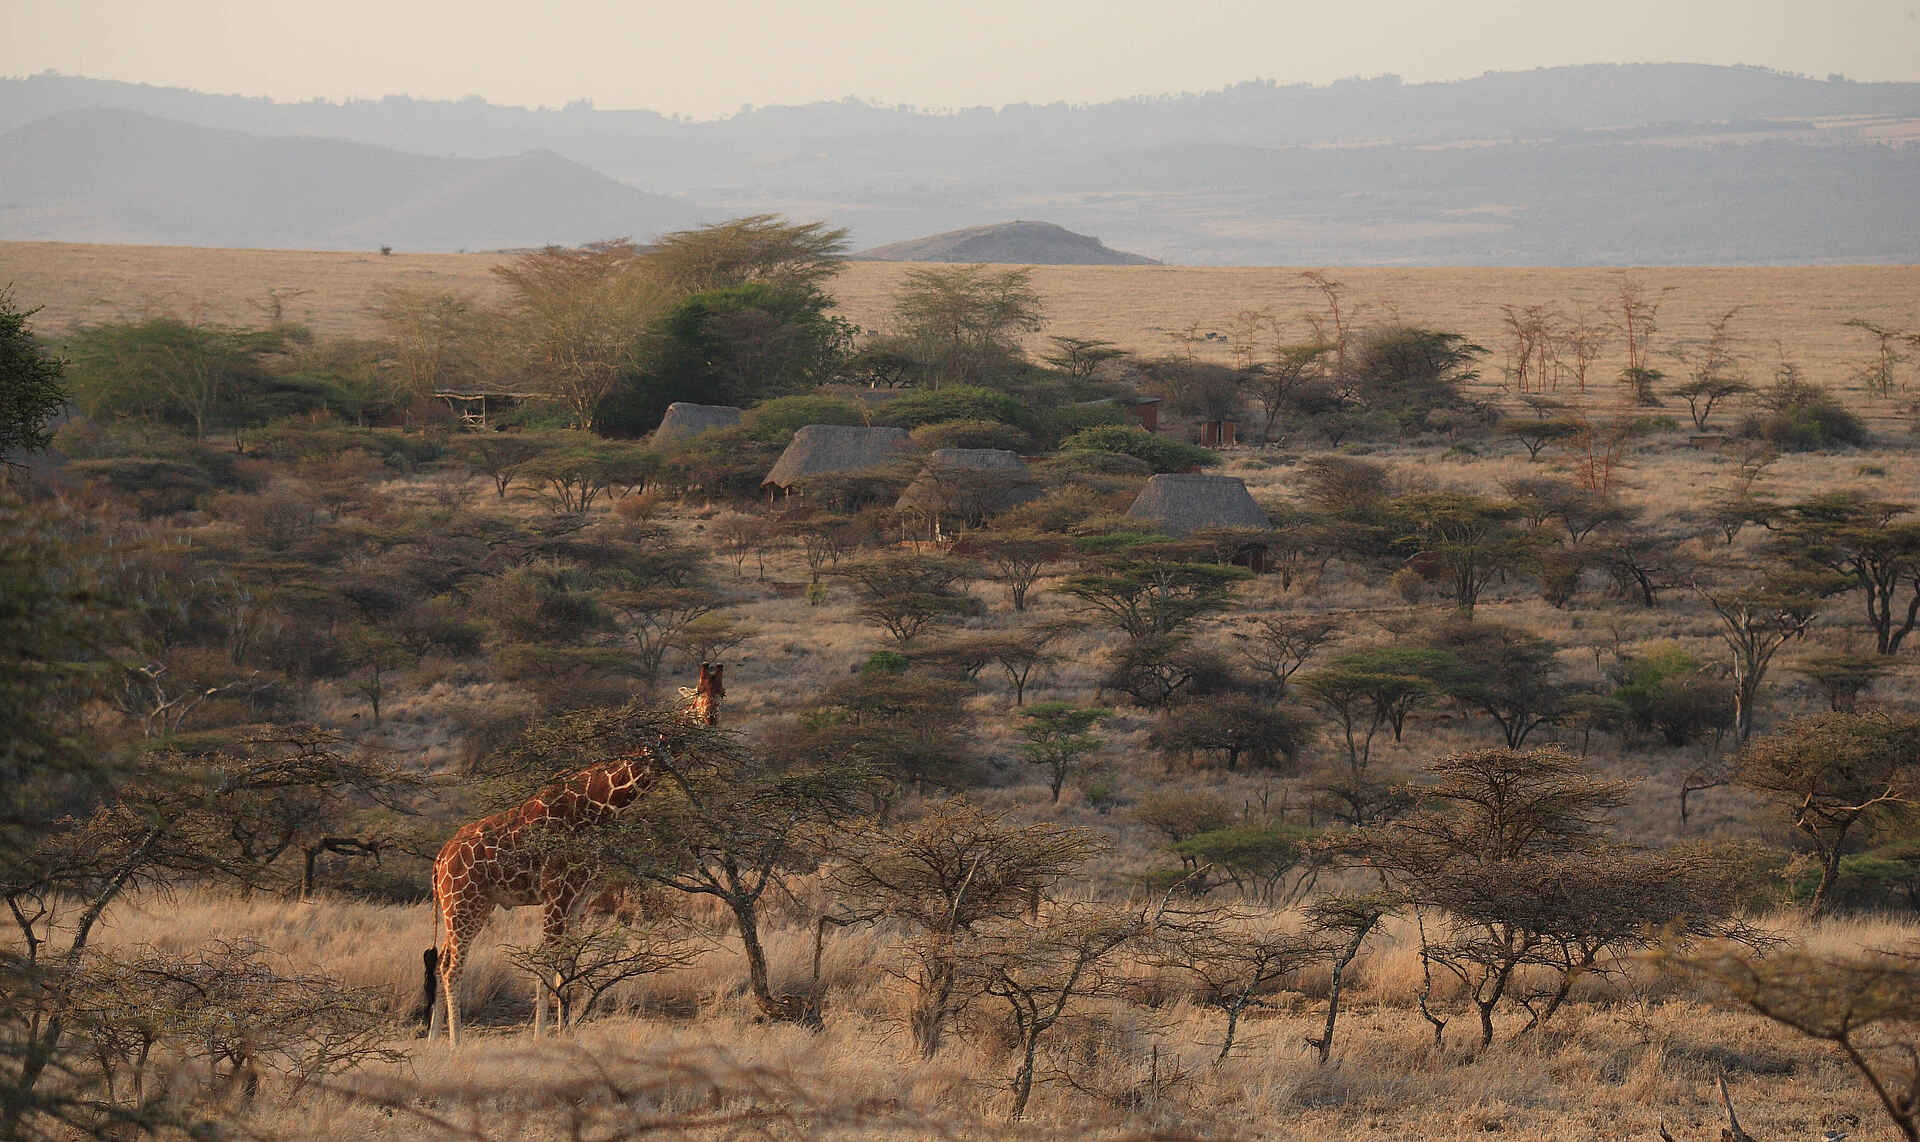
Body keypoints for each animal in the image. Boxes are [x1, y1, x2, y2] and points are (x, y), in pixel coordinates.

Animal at [425, 663, 723, 1045]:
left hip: (476, 905)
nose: (710, 719)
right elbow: (545, 963)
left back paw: (433, 1039)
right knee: (451, 965)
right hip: (462, 902)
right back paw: (456, 1041)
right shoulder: (556, 894)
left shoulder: (579, 898)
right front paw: (540, 1035)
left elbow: (569, 963)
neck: (595, 808)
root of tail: (440, 859)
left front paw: (565, 1031)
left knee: (440, 959)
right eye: (698, 694)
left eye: (721, 694)